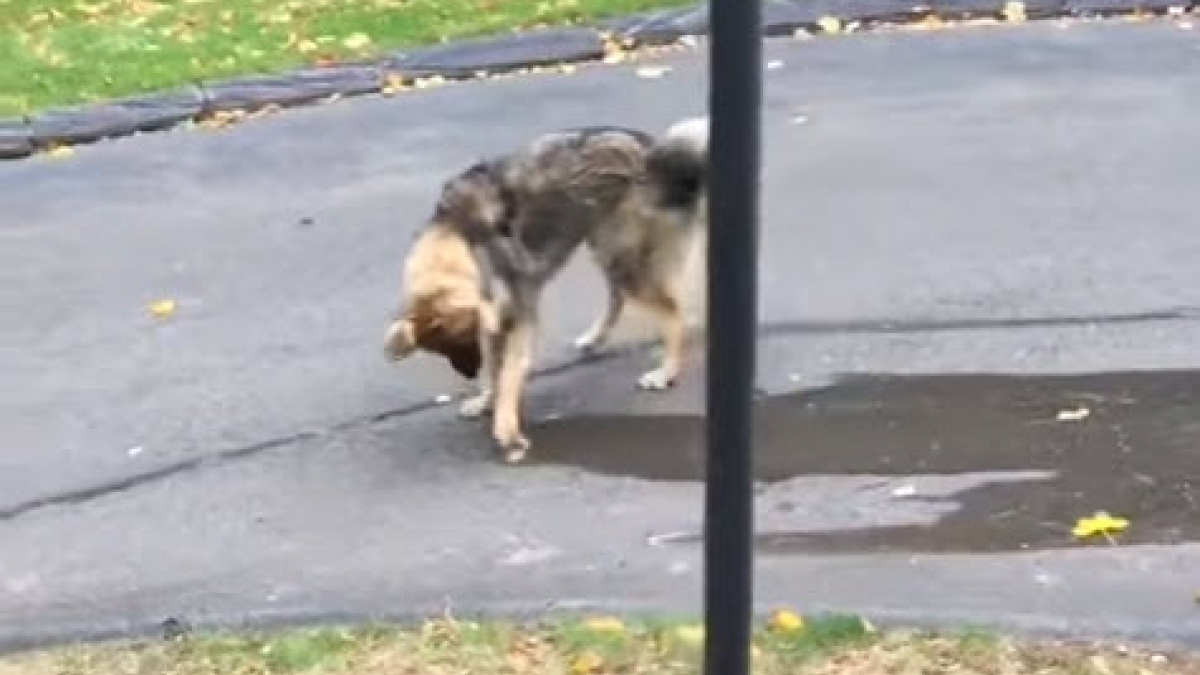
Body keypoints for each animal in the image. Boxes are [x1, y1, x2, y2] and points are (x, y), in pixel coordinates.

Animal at [384, 117, 705, 461]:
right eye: (444, 350)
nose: (468, 374)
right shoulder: (492, 321)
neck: (457, 234)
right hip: (604, 246)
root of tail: (652, 149)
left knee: (671, 311)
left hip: (621, 256)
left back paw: (666, 371)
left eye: (461, 344)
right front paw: (488, 399)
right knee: (617, 296)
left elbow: (508, 374)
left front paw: (506, 428)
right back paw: (595, 337)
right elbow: (495, 368)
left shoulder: (517, 317)